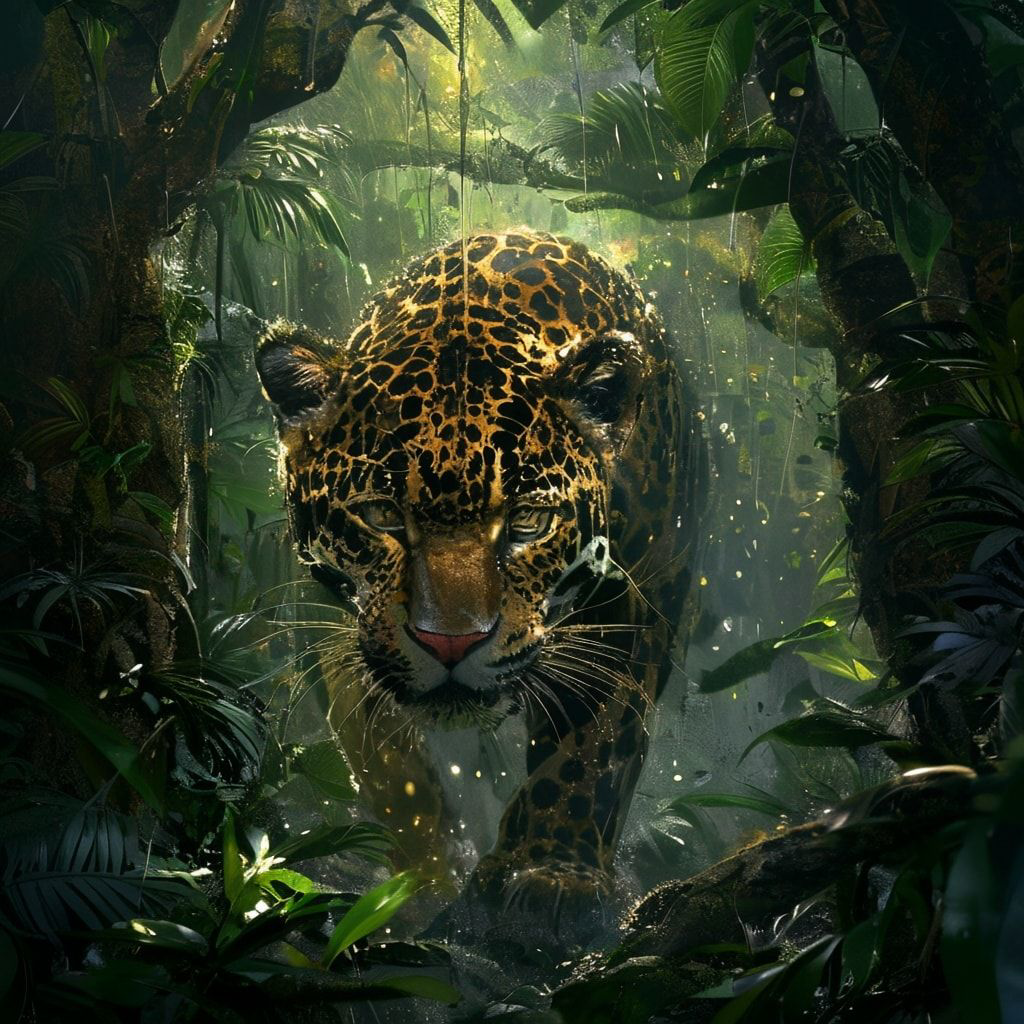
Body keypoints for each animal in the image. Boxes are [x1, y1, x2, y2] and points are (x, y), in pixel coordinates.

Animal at [256, 229, 706, 925]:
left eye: (526, 521)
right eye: (382, 515)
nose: (451, 643)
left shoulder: (629, 605)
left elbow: (593, 752)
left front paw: (552, 875)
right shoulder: (342, 635)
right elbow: (392, 767)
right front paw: (427, 878)